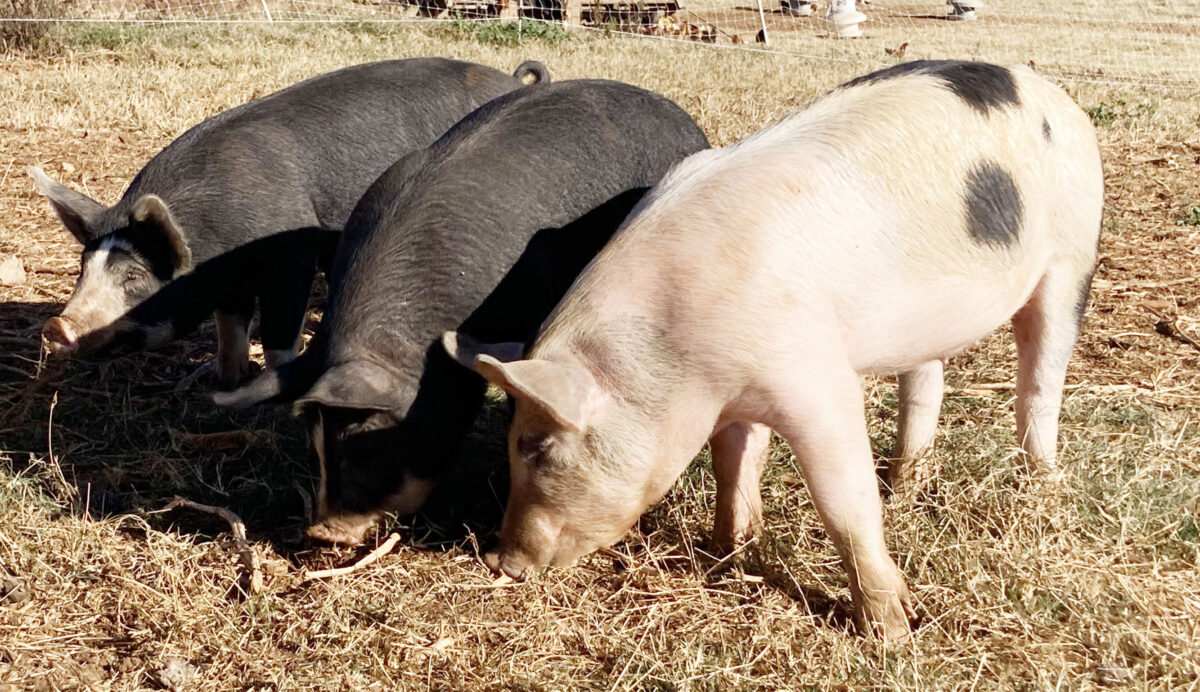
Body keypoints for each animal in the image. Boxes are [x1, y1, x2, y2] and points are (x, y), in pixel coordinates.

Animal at [30, 57, 549, 388]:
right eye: (82, 269)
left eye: (135, 276)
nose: (57, 326)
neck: (212, 243)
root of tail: (515, 83)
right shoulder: (230, 277)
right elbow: (230, 326)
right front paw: (226, 379)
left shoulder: (291, 256)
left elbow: (281, 332)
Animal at [446, 60, 1103, 640]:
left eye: (537, 447)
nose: (500, 562)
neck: (677, 361)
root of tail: (1052, 93)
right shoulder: (732, 393)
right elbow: (733, 462)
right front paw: (724, 555)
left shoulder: (815, 378)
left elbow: (844, 502)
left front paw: (892, 635)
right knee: (925, 382)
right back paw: (905, 487)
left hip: (1073, 253)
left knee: (1040, 382)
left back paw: (1040, 492)